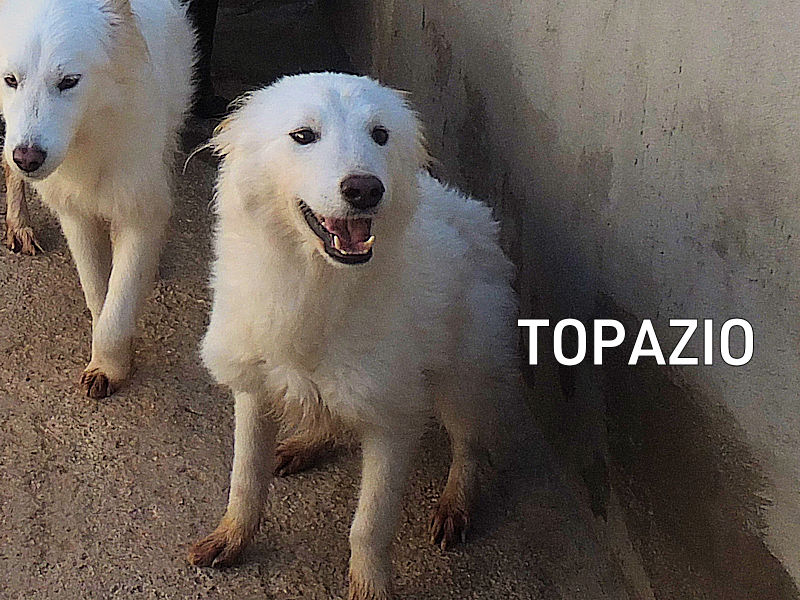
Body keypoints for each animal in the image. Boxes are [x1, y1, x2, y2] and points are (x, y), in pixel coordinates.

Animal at [0, 0, 195, 397]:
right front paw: (108, 363)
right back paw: (18, 223)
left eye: (69, 82)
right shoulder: (75, 214)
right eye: (11, 80)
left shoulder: (139, 207)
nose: (28, 158)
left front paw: (109, 366)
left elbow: (118, 304)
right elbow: (97, 291)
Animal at [188, 73, 522, 599]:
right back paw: (306, 443)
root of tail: (475, 214)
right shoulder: (255, 390)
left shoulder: (393, 420)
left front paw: (369, 586)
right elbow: (245, 481)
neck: (314, 288)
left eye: (380, 135)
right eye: (303, 135)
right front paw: (232, 537)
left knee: (469, 446)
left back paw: (455, 503)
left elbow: (369, 525)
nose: (365, 190)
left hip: (459, 380)